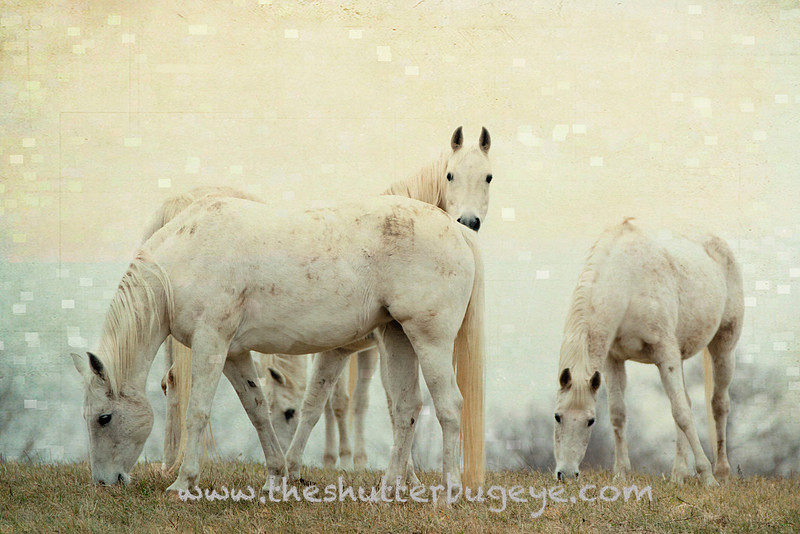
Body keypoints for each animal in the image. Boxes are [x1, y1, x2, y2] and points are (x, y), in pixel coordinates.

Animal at [72, 194, 485, 493]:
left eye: (104, 417)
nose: (104, 483)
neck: (182, 262)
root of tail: (456, 230)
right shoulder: (234, 353)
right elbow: (256, 409)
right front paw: (276, 476)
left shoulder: (211, 343)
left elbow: (197, 412)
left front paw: (183, 484)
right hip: (397, 337)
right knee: (405, 409)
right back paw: (388, 489)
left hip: (429, 340)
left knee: (449, 407)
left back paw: (449, 491)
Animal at [552, 219, 743, 486]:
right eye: (557, 417)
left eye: (590, 421)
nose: (567, 475)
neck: (628, 284)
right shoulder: (614, 360)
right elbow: (618, 414)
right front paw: (621, 474)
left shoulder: (665, 354)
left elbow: (682, 414)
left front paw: (706, 476)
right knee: (687, 400)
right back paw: (678, 474)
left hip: (723, 346)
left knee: (719, 404)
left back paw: (722, 473)